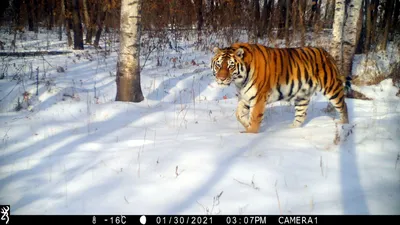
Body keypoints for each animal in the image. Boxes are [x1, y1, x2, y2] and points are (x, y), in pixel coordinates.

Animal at [211, 42, 348, 134]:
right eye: (218, 65)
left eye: (231, 66)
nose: (221, 78)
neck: (240, 80)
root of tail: (327, 53)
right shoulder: (246, 96)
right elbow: (238, 114)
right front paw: (246, 126)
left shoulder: (259, 97)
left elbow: (254, 117)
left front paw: (251, 134)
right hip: (302, 95)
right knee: (301, 115)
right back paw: (290, 130)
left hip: (331, 88)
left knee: (343, 106)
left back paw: (344, 125)